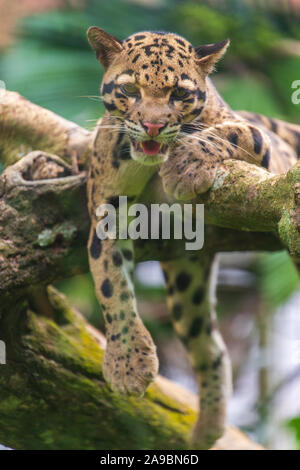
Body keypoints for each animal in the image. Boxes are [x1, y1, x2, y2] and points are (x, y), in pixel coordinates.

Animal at [85, 24, 298, 448]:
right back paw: (207, 429)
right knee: (207, 345)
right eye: (130, 89)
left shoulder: (274, 160)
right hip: (187, 281)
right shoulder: (105, 213)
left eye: (180, 94)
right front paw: (127, 362)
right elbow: (110, 284)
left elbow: (232, 130)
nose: (152, 126)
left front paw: (185, 164)